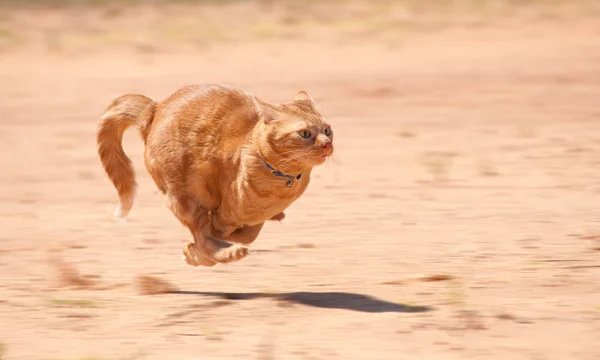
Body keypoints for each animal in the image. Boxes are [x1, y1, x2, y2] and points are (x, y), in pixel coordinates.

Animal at [96, 83, 336, 266]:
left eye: (327, 130)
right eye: (304, 133)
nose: (327, 144)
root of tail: (154, 109)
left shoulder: (253, 217)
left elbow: (249, 233)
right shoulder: (222, 212)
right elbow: (213, 233)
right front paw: (197, 253)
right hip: (185, 195)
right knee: (202, 236)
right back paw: (226, 253)